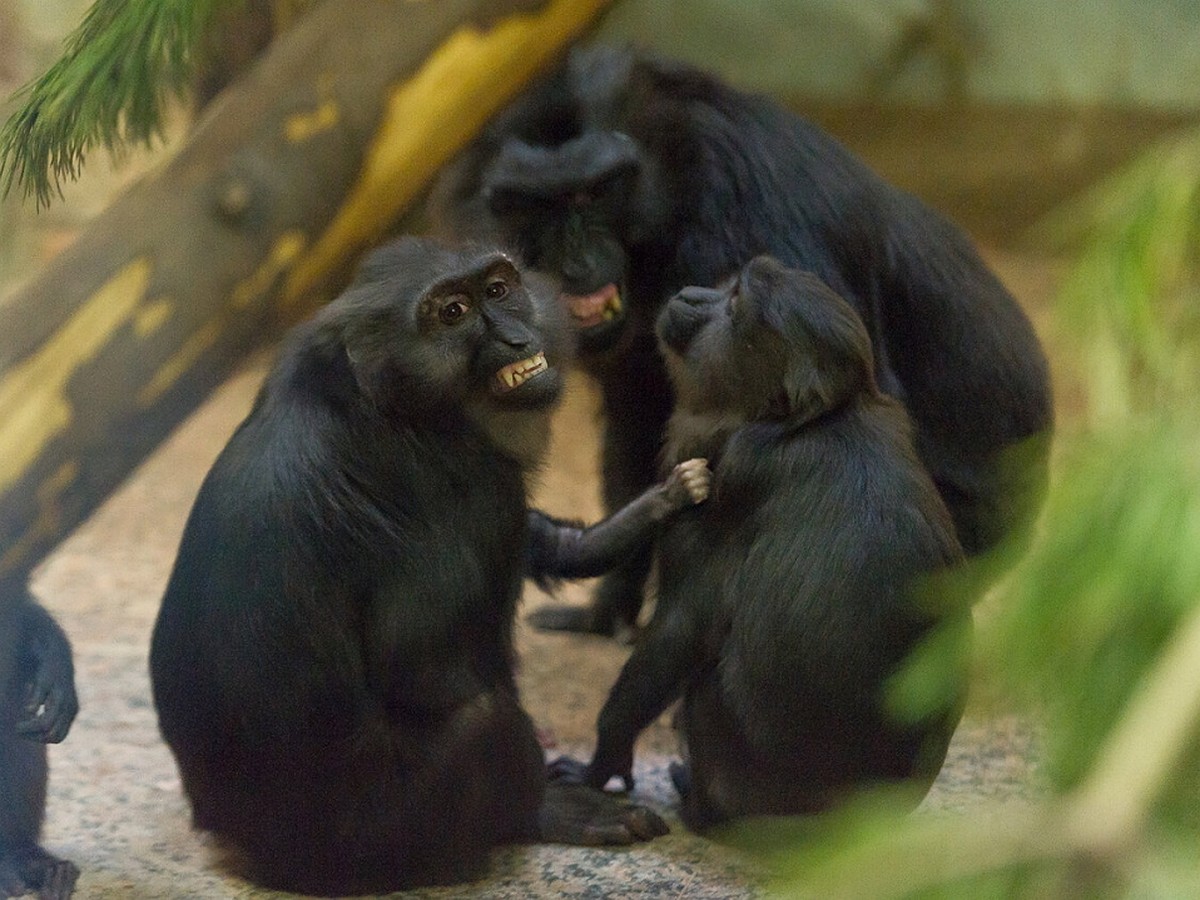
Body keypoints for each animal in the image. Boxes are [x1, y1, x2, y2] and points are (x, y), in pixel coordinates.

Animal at [150, 237, 710, 897]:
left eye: (497, 290)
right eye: (453, 313)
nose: (516, 339)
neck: (381, 399)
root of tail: (237, 839)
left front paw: (660, 502)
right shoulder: (472, 486)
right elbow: (422, 665)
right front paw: (550, 799)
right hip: (371, 844)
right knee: (481, 717)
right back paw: (530, 814)